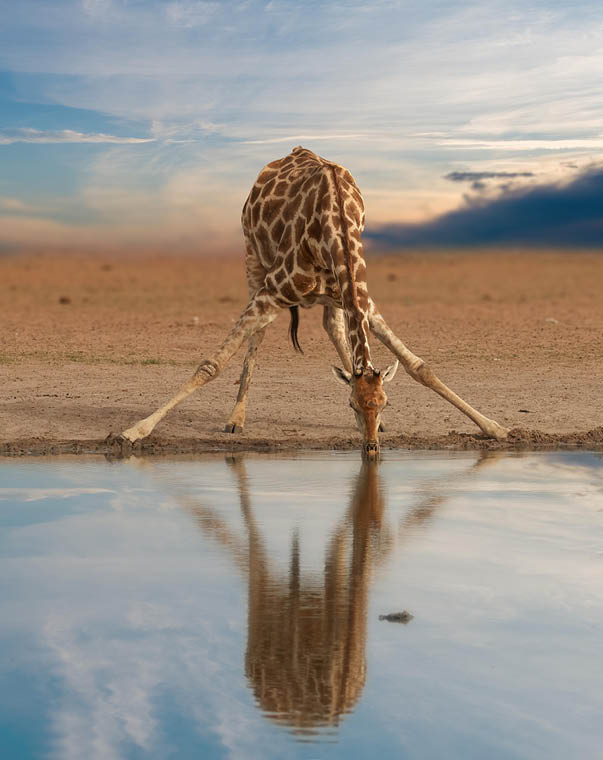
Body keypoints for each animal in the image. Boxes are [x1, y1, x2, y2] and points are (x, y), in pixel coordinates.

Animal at [119, 146, 509, 458]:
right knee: (258, 335)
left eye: (385, 403)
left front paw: (495, 427)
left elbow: (419, 367)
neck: (333, 225)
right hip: (253, 260)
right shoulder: (272, 291)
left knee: (332, 327)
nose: (371, 450)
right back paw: (236, 419)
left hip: (331, 297)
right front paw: (134, 431)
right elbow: (211, 365)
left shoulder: (360, 297)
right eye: (350, 405)